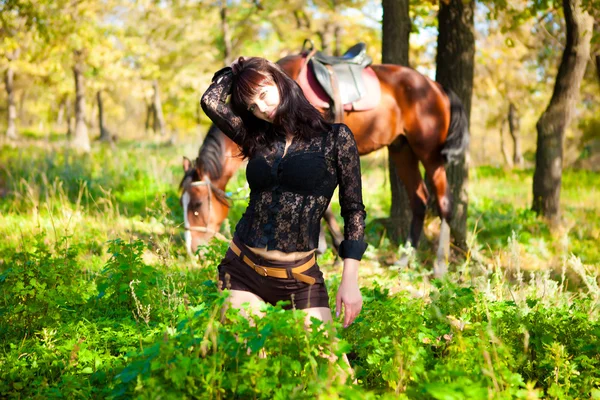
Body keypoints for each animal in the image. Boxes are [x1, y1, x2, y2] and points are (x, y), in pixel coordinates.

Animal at [179, 46, 468, 276]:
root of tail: (435, 86)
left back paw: (440, 266)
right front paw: (324, 247)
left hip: (428, 153)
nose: (191, 250)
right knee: (419, 200)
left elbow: (325, 206)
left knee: (444, 203)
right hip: (402, 150)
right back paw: (405, 259)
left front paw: (331, 247)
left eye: (197, 205)